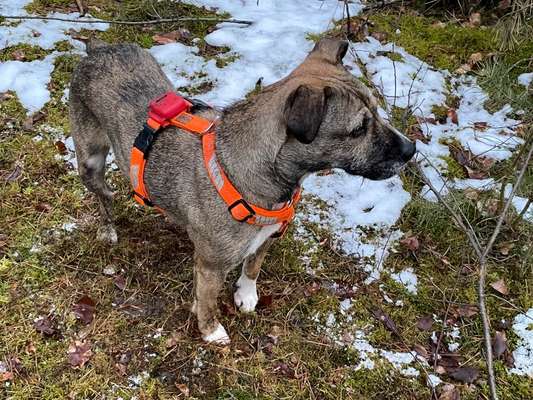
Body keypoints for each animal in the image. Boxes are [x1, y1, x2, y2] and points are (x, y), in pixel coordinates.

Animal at [67, 38, 416, 344]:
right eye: (358, 129)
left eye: (377, 110)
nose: (411, 149)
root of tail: (97, 50)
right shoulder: (210, 266)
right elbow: (207, 302)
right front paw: (210, 331)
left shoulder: (267, 237)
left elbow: (253, 266)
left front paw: (246, 294)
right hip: (90, 164)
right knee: (104, 197)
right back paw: (108, 229)